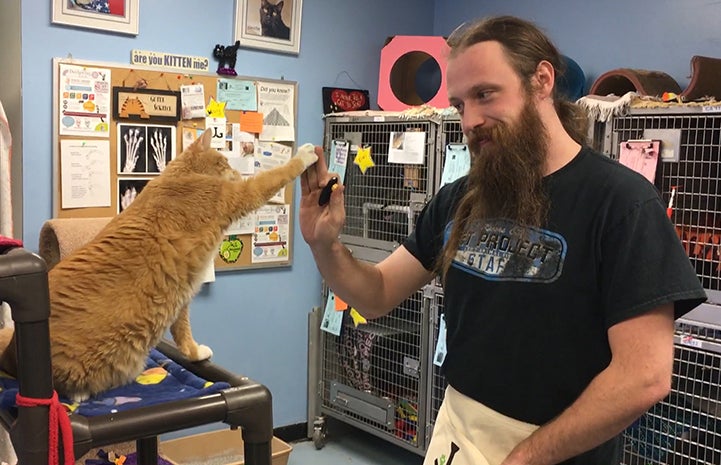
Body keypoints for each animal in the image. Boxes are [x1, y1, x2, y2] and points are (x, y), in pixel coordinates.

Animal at [0, 129, 316, 400]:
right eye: (225, 161)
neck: (180, 174)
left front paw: (194, 353)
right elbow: (273, 177)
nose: (238, 172)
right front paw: (304, 155)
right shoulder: (236, 197)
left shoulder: (181, 295)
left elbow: (183, 331)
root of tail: (11, 355)